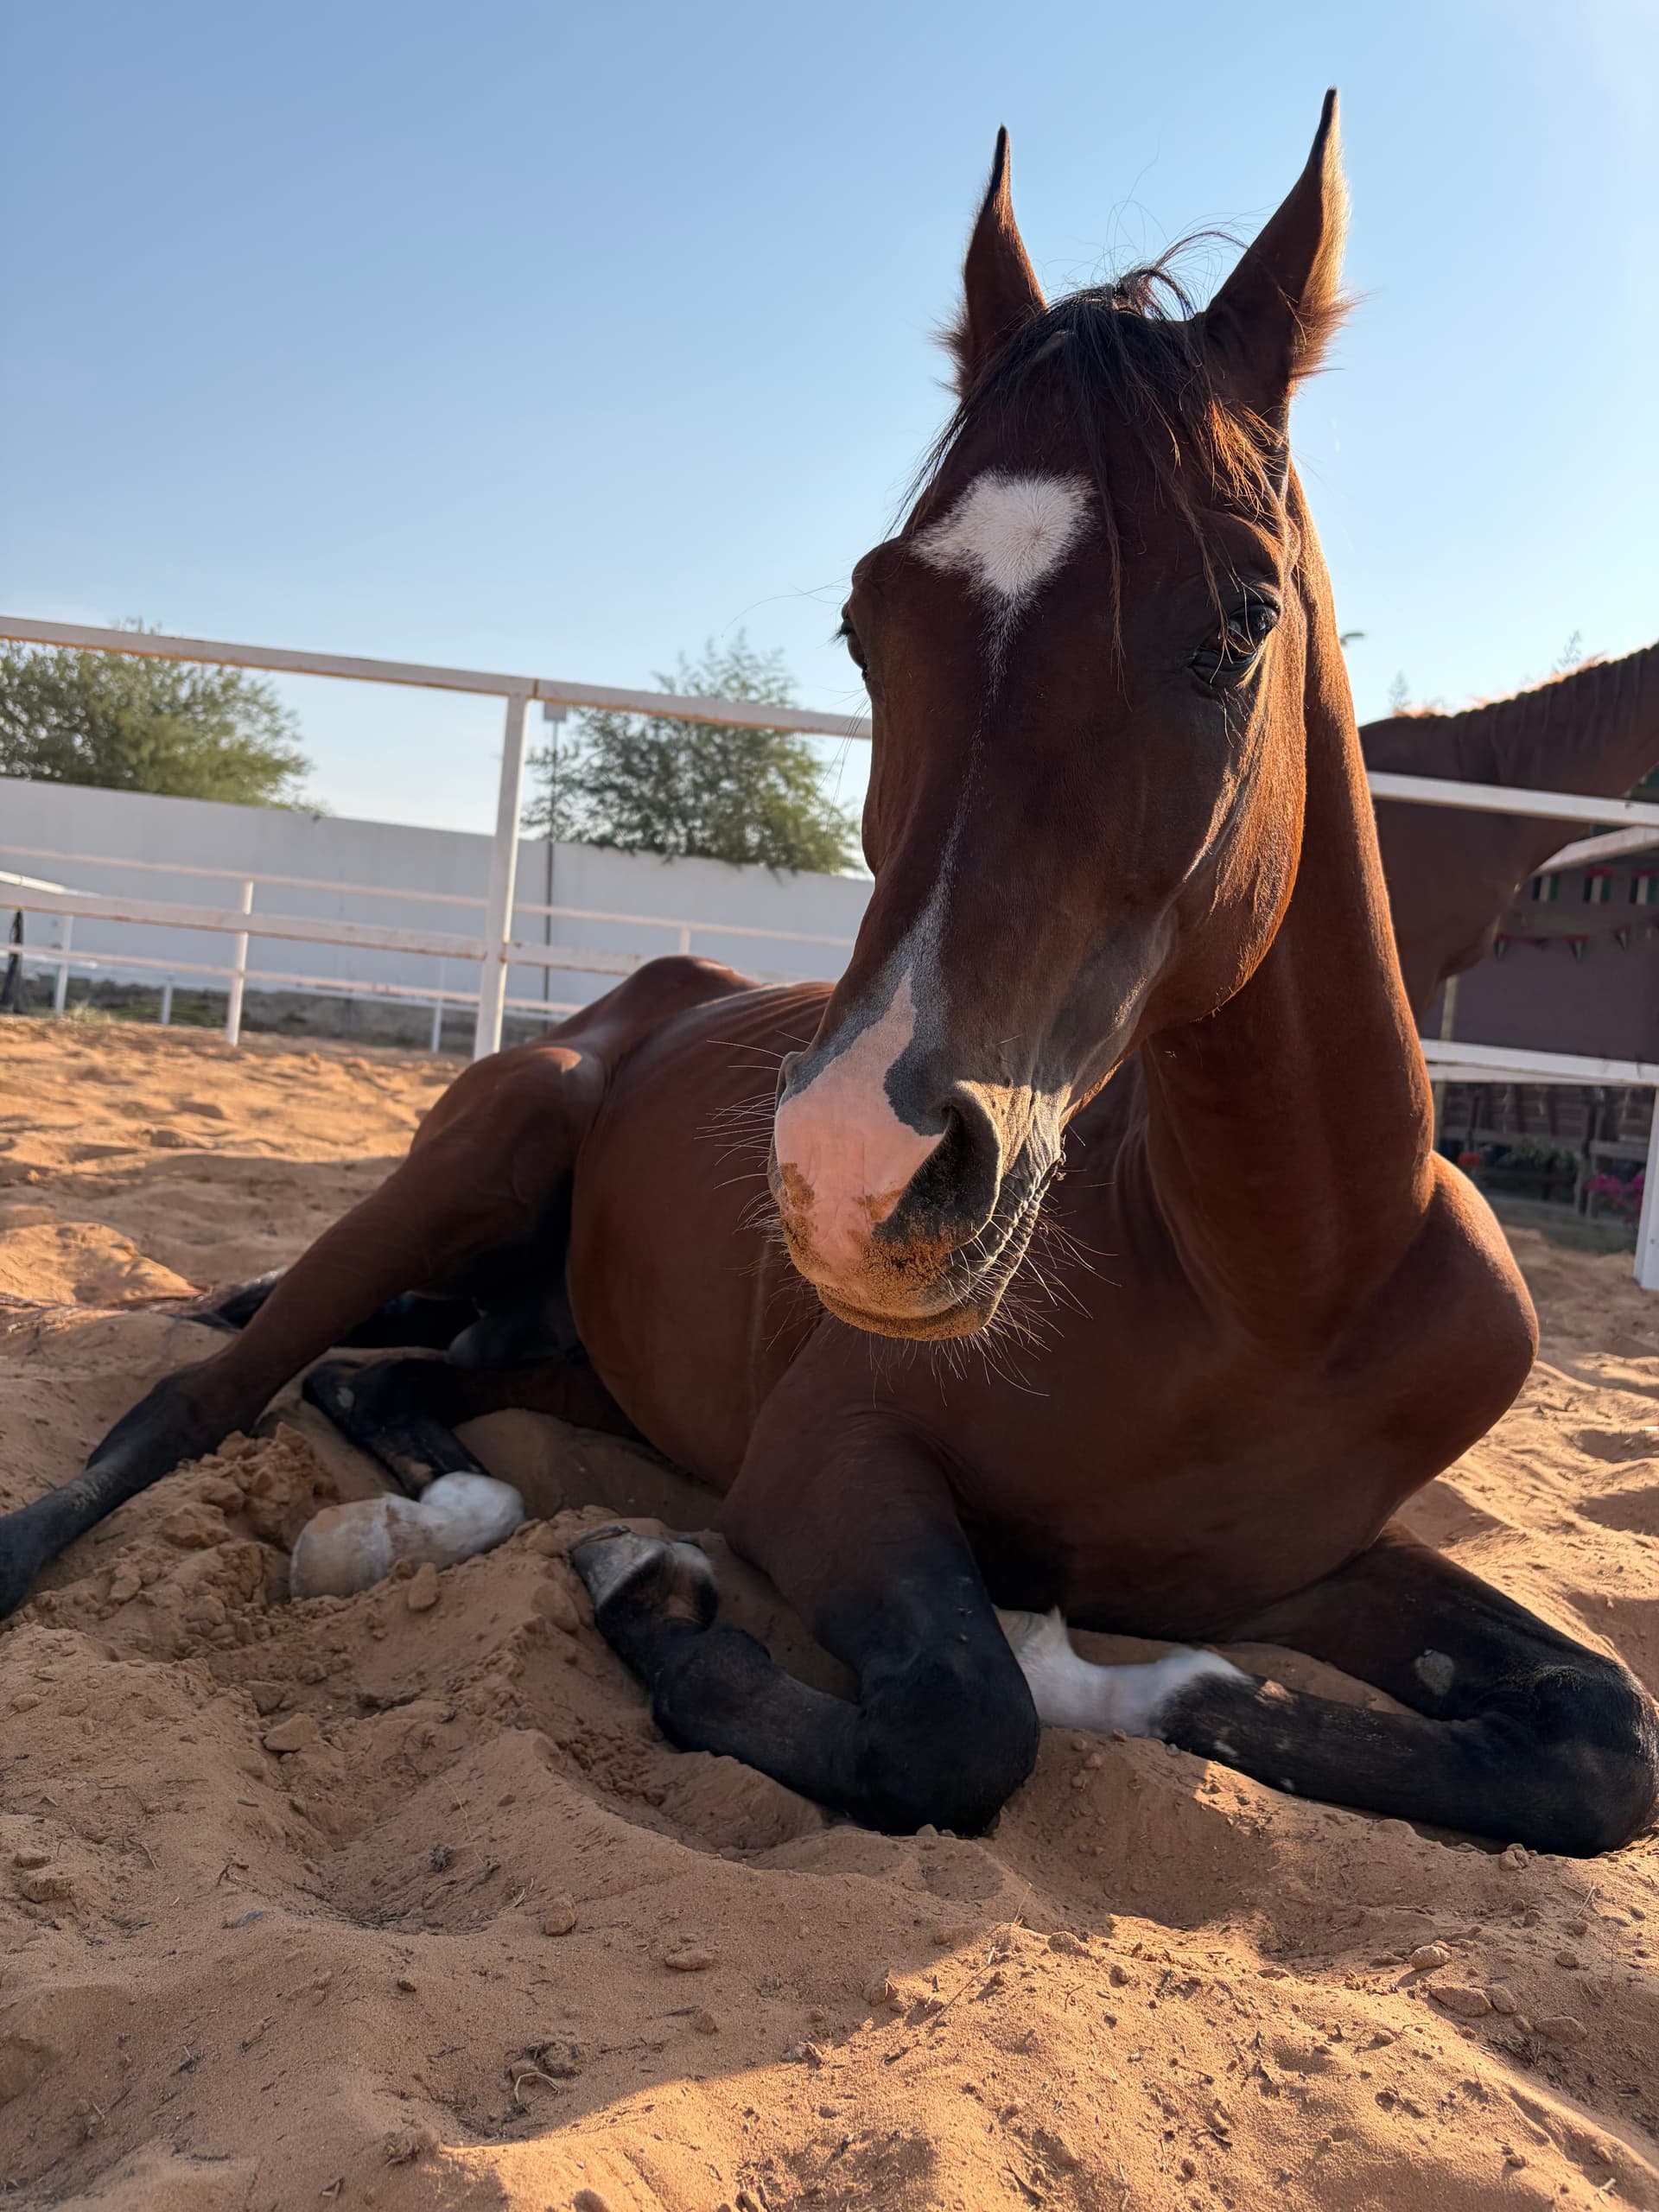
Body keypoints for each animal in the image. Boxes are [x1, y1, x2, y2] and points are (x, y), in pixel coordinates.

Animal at [3, 96, 1655, 1856]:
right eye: (870, 627)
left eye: (1237, 627)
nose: (859, 1172)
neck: (1283, 1290)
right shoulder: (822, 1462)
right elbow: (962, 1725)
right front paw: (660, 1590)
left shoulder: (1321, 1571)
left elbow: (1596, 1738)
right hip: (487, 1151)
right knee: (201, 1401)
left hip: (560, 1356)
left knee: (389, 1382)